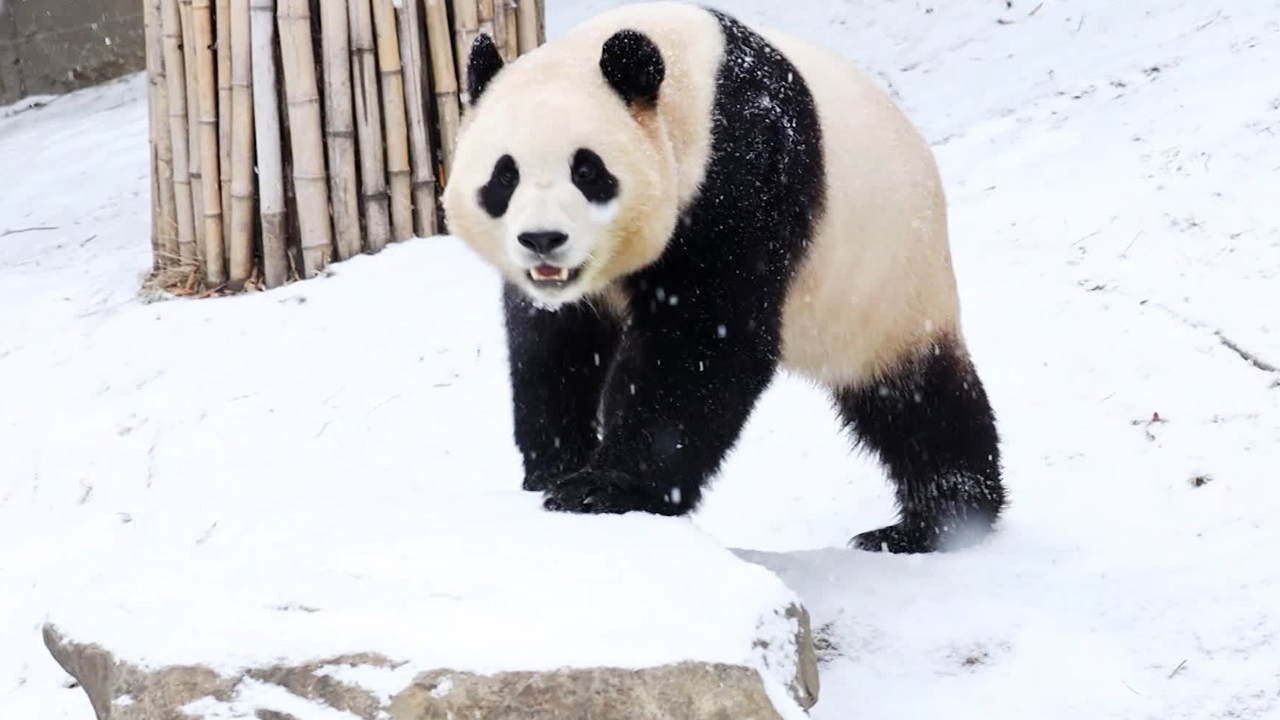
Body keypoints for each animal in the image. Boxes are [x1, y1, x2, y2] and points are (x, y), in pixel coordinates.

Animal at [440, 0, 1008, 550]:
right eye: (504, 176)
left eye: (588, 171)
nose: (542, 239)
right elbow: (553, 346)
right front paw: (555, 467)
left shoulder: (743, 173)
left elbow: (705, 339)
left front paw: (605, 489)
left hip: (890, 277)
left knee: (917, 398)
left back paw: (939, 522)